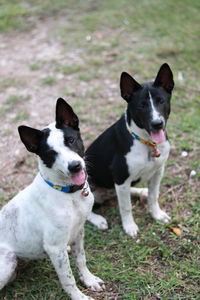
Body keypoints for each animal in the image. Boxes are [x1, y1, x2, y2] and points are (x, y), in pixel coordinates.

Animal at [0, 99, 104, 300]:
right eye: (51, 153)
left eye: (71, 140)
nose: (75, 166)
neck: (69, 195)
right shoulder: (55, 247)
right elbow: (68, 278)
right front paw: (79, 296)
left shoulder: (79, 231)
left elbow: (81, 259)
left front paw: (88, 280)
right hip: (7, 260)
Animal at [86, 64, 174, 238]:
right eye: (142, 105)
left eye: (161, 101)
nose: (157, 124)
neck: (147, 142)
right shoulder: (120, 177)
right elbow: (126, 207)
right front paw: (129, 226)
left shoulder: (158, 171)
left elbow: (153, 196)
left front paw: (157, 214)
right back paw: (98, 220)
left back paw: (140, 191)